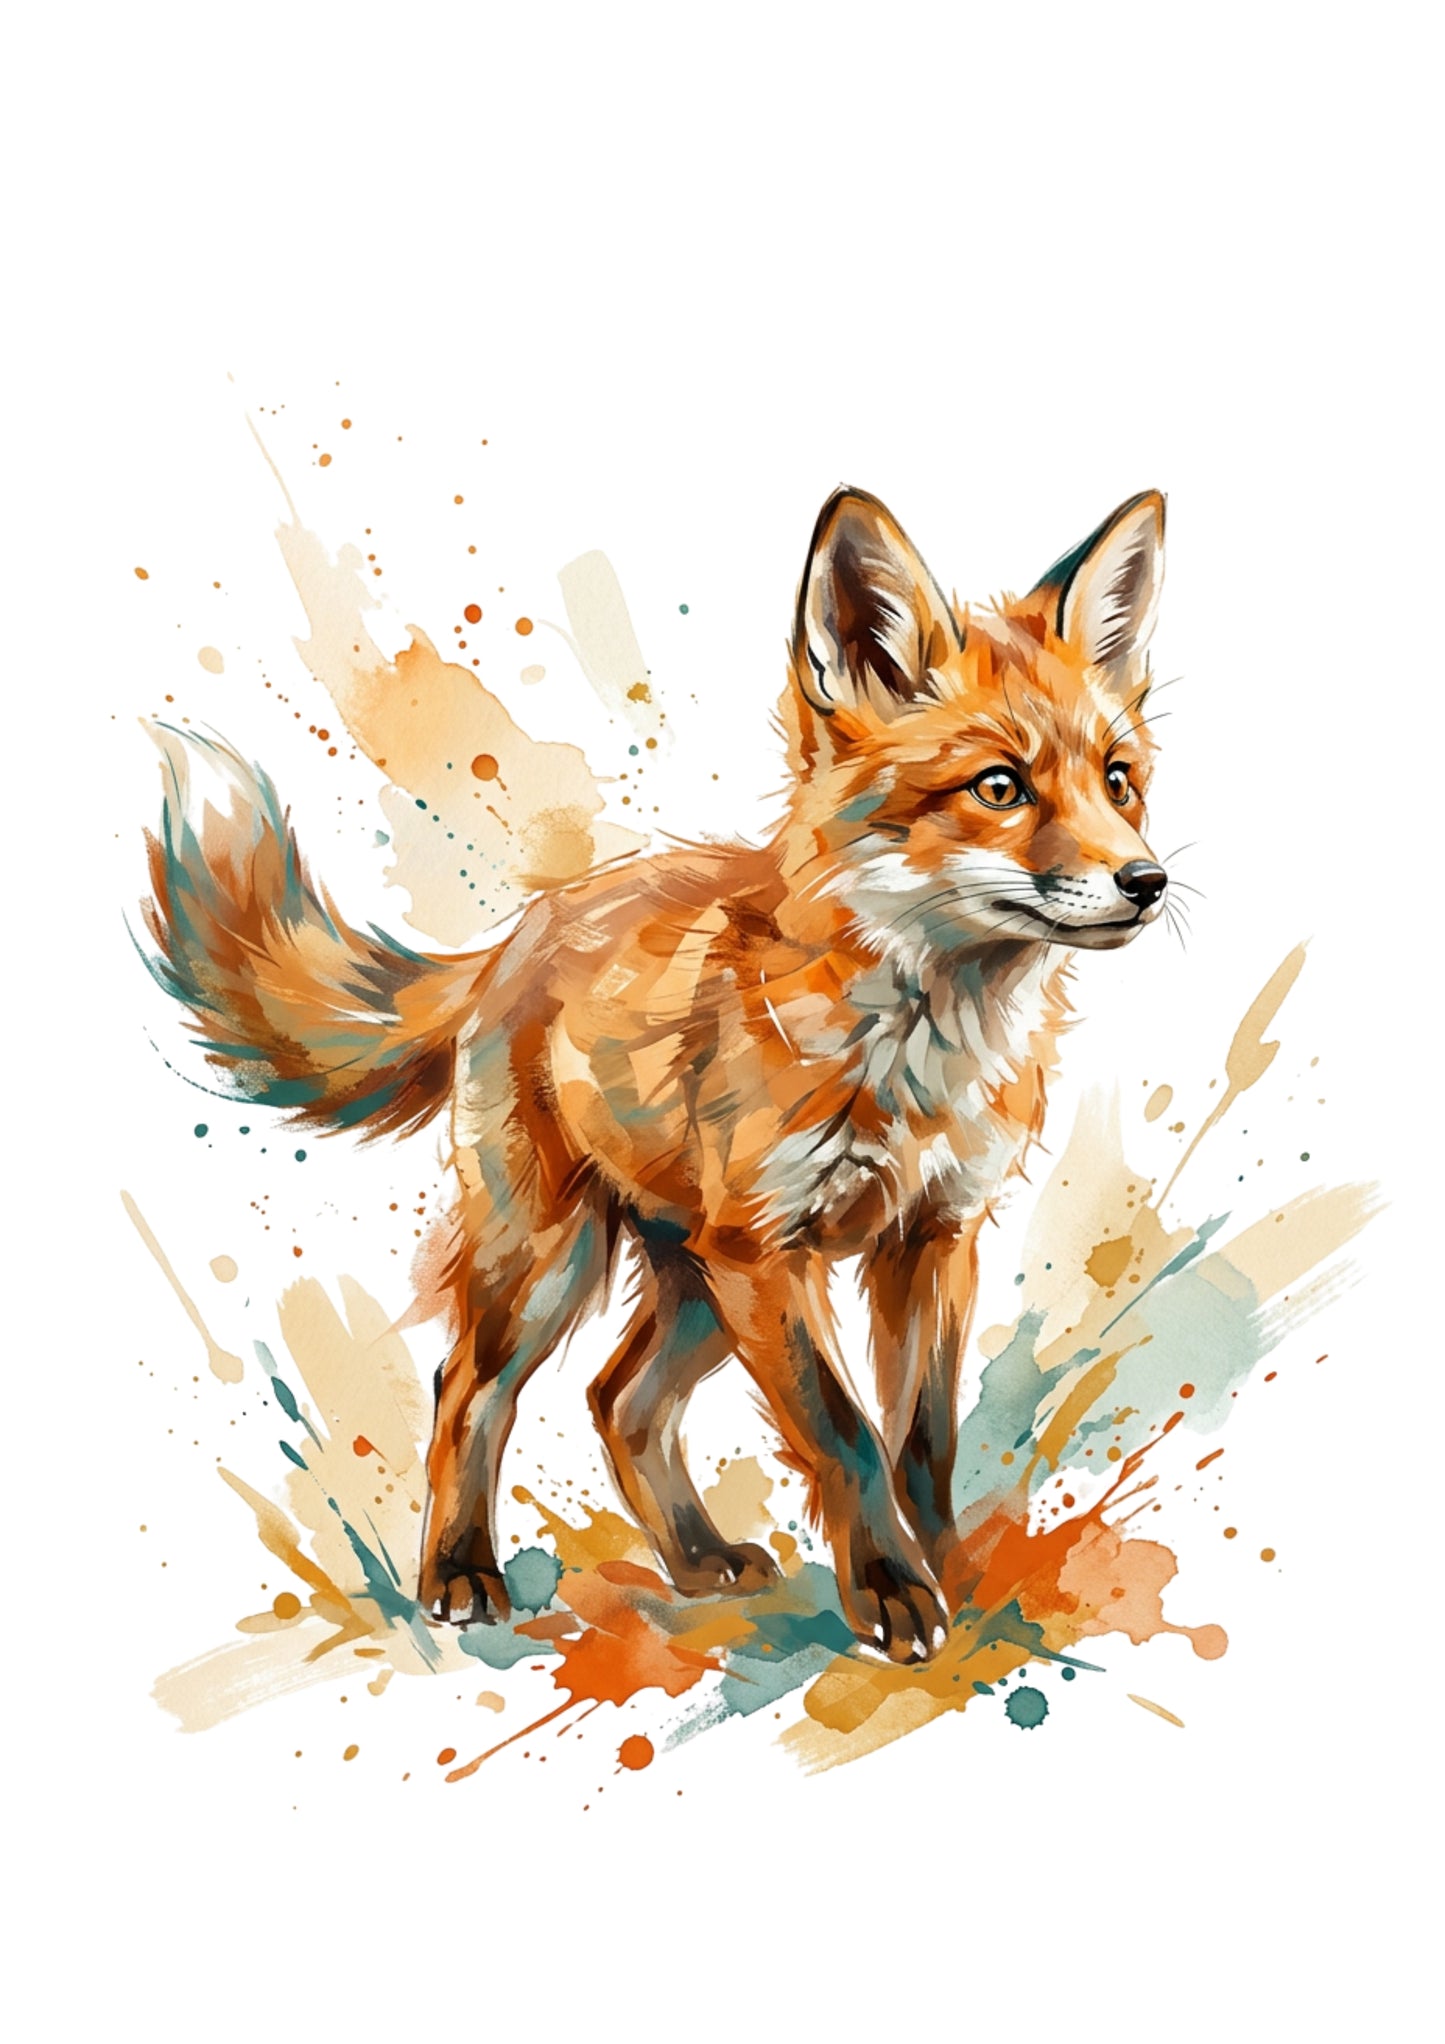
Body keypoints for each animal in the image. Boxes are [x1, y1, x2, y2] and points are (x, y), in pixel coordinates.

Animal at [140, 485, 1171, 1666]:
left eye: (1117, 782)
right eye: (998, 787)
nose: (1147, 881)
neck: (915, 1057)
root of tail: (519, 935)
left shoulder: (930, 1238)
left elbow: (922, 1441)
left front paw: (951, 1575)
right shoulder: (772, 1250)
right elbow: (845, 1433)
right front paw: (891, 1591)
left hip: (690, 1281)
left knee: (616, 1401)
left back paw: (695, 1560)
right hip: (558, 1261)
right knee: (468, 1388)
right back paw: (459, 1572)